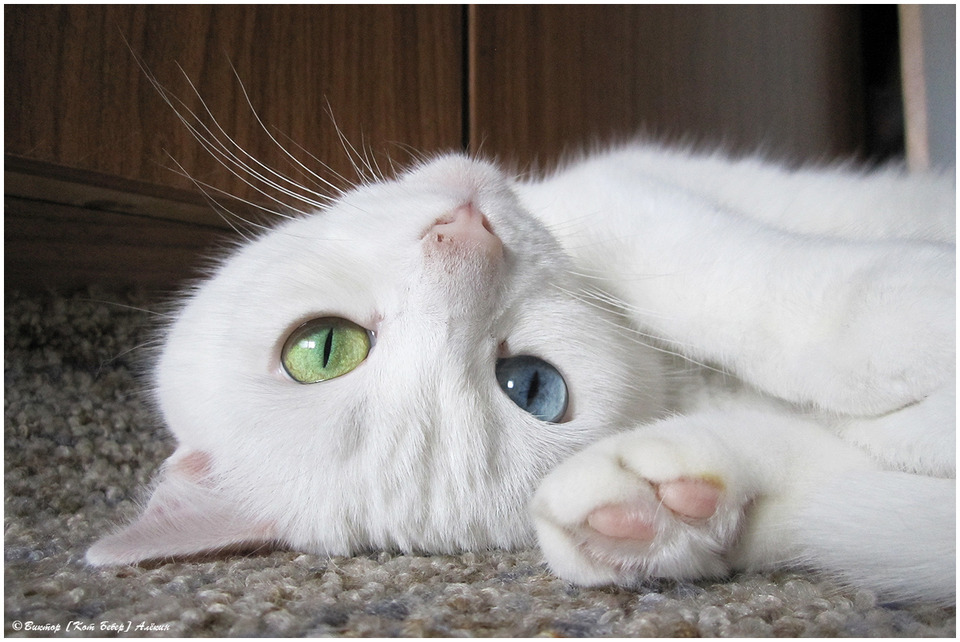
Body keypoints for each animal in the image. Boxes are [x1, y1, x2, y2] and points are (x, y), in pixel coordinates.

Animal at [86, 142, 956, 604]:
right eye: (534, 388)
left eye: (322, 347)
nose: (464, 239)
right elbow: (849, 496)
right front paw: (652, 513)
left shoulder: (622, 196)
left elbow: (729, 280)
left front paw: (918, 320)